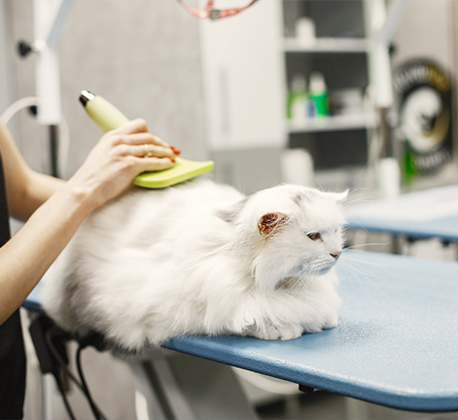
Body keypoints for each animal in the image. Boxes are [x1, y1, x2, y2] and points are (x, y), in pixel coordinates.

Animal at [41, 177, 346, 352]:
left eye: (336, 231)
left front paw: (322, 320)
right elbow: (244, 316)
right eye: (312, 236)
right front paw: (281, 328)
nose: (337, 253)